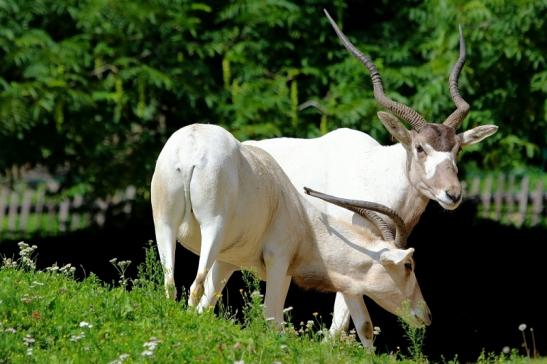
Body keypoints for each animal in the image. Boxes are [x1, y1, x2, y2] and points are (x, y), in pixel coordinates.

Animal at [151, 123, 432, 346]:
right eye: (408, 265)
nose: (427, 315)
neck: (303, 217)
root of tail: (191, 147)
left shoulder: (227, 261)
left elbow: (207, 306)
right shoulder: (279, 261)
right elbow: (272, 317)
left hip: (164, 224)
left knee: (171, 283)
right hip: (213, 226)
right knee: (195, 284)